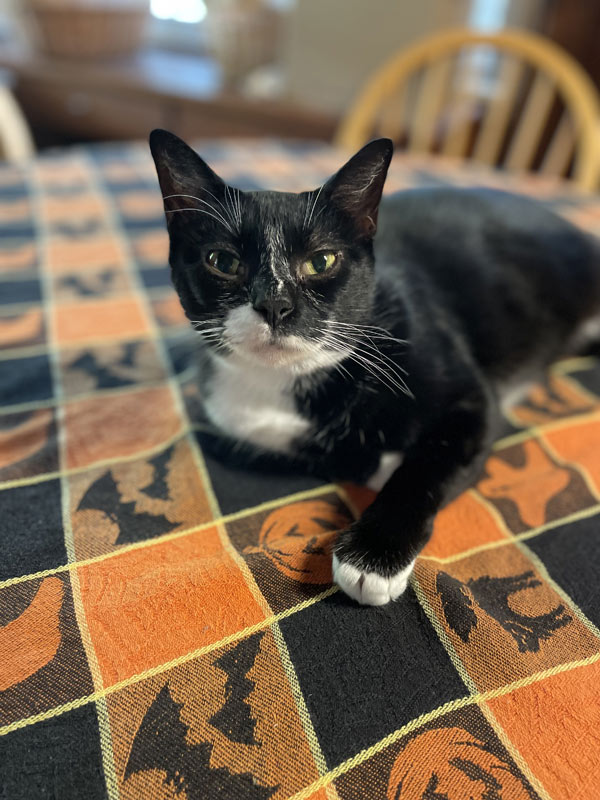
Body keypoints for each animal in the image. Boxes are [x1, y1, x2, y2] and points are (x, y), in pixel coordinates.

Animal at [149, 130, 600, 608]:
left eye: (322, 261)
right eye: (223, 261)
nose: (274, 304)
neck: (293, 382)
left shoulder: (470, 397)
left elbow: (427, 465)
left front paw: (372, 556)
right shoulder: (237, 427)